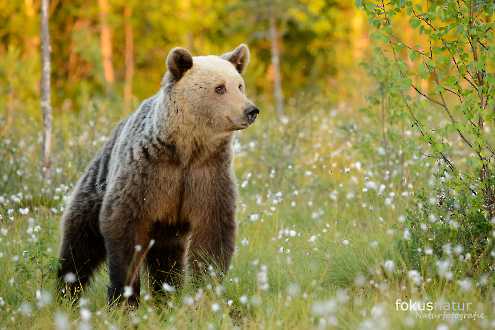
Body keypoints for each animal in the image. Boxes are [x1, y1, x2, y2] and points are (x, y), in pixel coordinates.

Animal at [57, 44, 260, 306]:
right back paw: (67, 291)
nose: (251, 110)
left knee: (166, 258)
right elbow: (124, 228)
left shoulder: (208, 174)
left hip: (168, 221)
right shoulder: (147, 172)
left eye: (239, 85)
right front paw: (124, 297)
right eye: (220, 88)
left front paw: (205, 289)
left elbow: (213, 232)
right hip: (96, 186)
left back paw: (166, 295)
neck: (186, 149)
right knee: (80, 244)